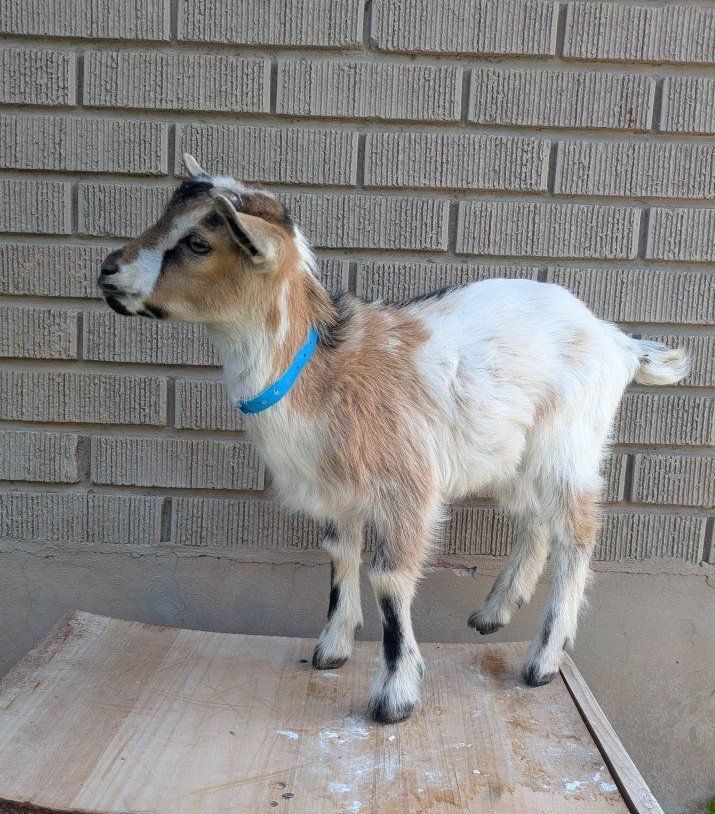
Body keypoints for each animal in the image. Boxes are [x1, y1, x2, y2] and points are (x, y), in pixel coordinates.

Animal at [97, 155, 689, 724]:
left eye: (199, 242)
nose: (107, 270)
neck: (321, 369)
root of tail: (615, 340)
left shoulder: (404, 486)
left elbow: (389, 580)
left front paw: (395, 697)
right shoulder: (340, 491)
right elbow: (339, 556)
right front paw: (331, 649)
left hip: (569, 442)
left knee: (577, 532)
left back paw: (543, 659)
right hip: (510, 453)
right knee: (536, 519)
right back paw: (494, 612)